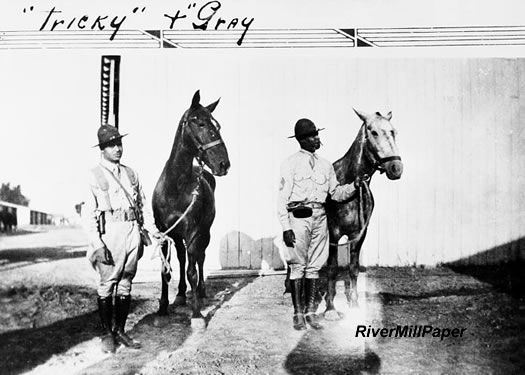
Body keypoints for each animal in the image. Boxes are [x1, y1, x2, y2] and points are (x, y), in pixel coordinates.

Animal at [149, 90, 227, 326]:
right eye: (200, 123)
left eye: (217, 126)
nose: (224, 164)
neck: (176, 186)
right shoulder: (164, 233)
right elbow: (166, 271)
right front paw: (163, 307)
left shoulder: (193, 231)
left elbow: (193, 270)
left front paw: (197, 314)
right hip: (178, 235)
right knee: (183, 257)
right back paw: (182, 294)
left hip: (204, 232)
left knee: (199, 258)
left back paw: (199, 292)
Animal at [322, 108, 404, 320]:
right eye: (373, 132)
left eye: (393, 132)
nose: (396, 168)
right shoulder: (333, 233)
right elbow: (332, 268)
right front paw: (330, 308)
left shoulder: (358, 235)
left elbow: (353, 269)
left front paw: (354, 304)